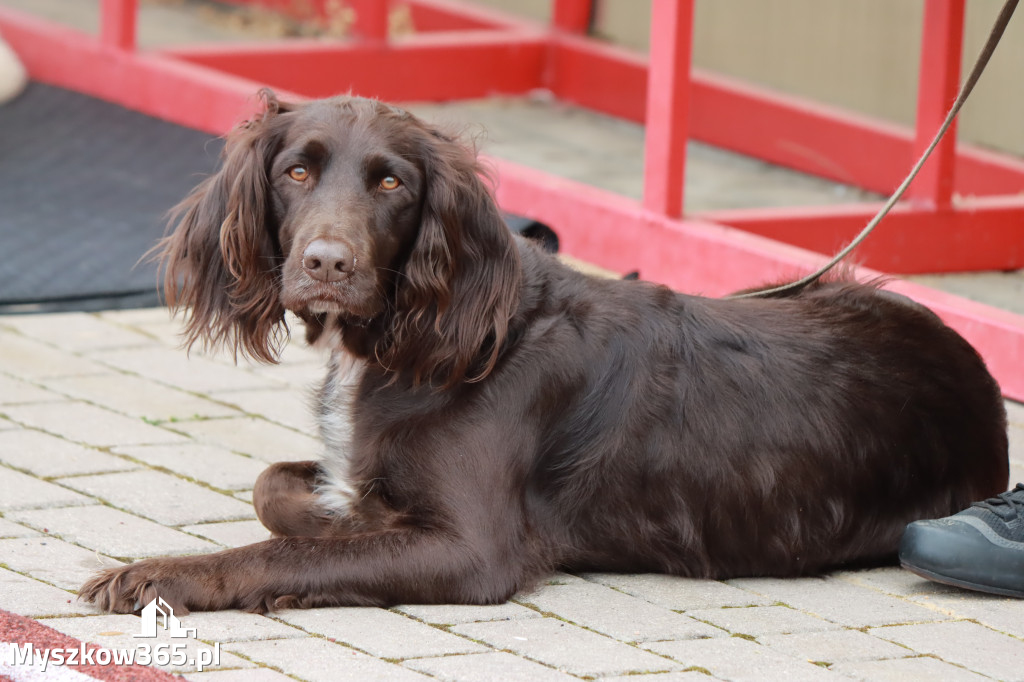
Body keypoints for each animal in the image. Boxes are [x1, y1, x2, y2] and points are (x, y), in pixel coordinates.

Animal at [79, 89, 1007, 610]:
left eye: (392, 183)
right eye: (295, 173)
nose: (327, 265)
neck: (427, 337)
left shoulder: (473, 549)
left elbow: (287, 547)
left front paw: (161, 576)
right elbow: (276, 488)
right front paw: (343, 509)